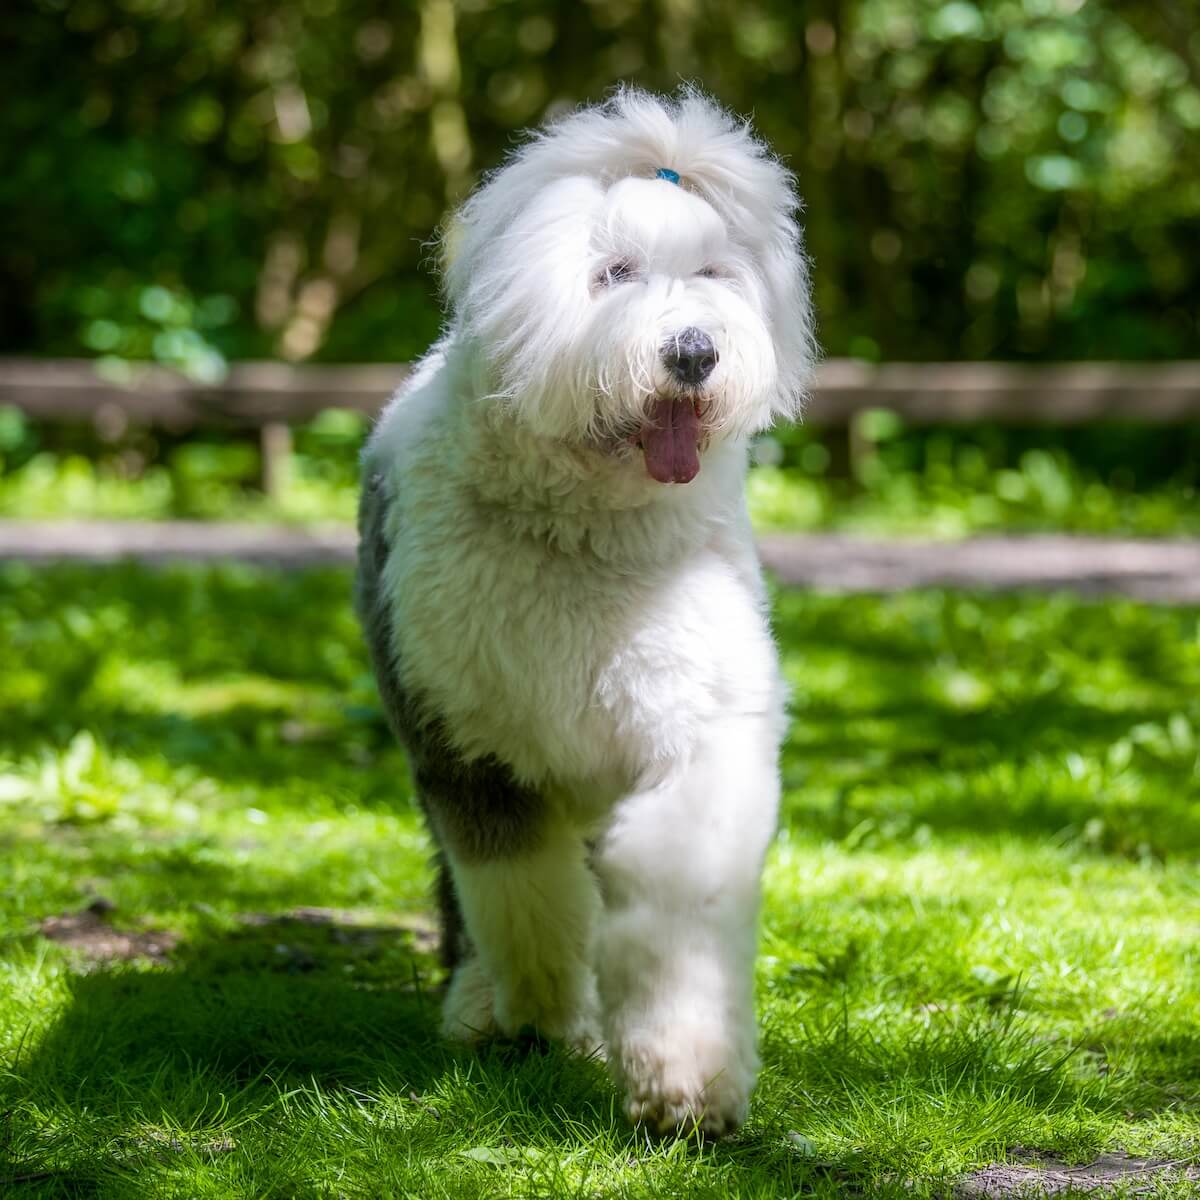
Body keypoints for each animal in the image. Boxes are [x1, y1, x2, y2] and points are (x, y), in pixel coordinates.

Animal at [355, 84, 816, 1132]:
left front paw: (686, 1080)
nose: (693, 350)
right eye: (613, 273)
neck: (586, 535)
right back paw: (481, 1002)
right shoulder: (468, 746)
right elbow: (522, 898)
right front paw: (535, 1016)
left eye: (715, 274)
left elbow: (675, 894)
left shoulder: (698, 724)